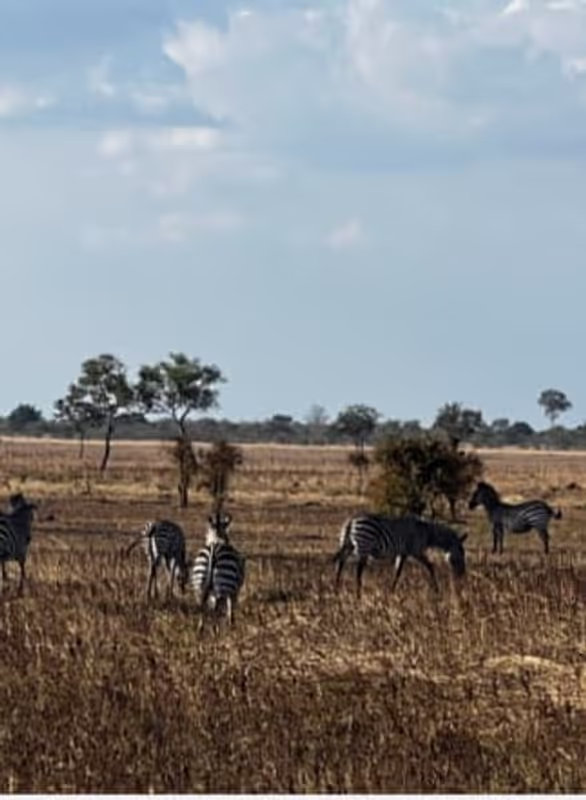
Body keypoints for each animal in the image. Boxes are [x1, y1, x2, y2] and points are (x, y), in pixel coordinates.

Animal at [333, 513, 468, 597]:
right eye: (461, 554)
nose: (462, 575)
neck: (427, 532)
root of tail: (351, 521)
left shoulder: (403, 553)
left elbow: (397, 573)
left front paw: (391, 591)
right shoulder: (416, 551)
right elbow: (430, 566)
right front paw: (437, 589)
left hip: (349, 546)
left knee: (340, 563)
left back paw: (336, 589)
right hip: (363, 547)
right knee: (358, 571)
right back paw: (358, 594)